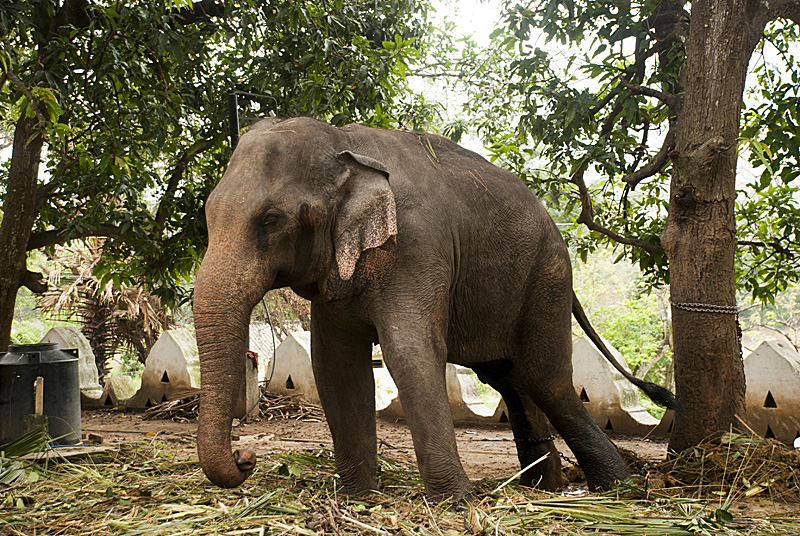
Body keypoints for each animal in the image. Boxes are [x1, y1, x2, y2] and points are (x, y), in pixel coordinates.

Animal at [194, 116, 678, 501]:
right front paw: (358, 496)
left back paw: (615, 487)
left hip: (548, 278)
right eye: (207, 215)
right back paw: (544, 486)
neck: (344, 143)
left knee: (547, 379)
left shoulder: (417, 247)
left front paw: (457, 502)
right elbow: (334, 365)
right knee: (510, 378)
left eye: (270, 220)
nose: (246, 456)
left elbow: (411, 352)